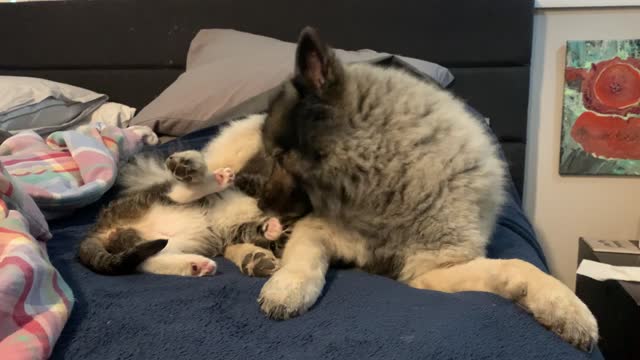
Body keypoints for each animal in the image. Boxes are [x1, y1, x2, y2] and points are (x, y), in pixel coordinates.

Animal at [77, 114, 312, 278]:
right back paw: (214, 178)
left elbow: (256, 232)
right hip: (153, 198)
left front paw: (272, 229)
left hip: (156, 242)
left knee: (147, 260)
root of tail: (100, 227)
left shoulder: (241, 231)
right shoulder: (250, 181)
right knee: (177, 194)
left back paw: (195, 265)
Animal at [255, 26, 600, 350]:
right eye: (270, 156)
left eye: (279, 157)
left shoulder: (432, 269)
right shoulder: (317, 229)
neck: (388, 179)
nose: (259, 204)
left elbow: (518, 266)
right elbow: (303, 256)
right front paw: (287, 287)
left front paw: (566, 308)